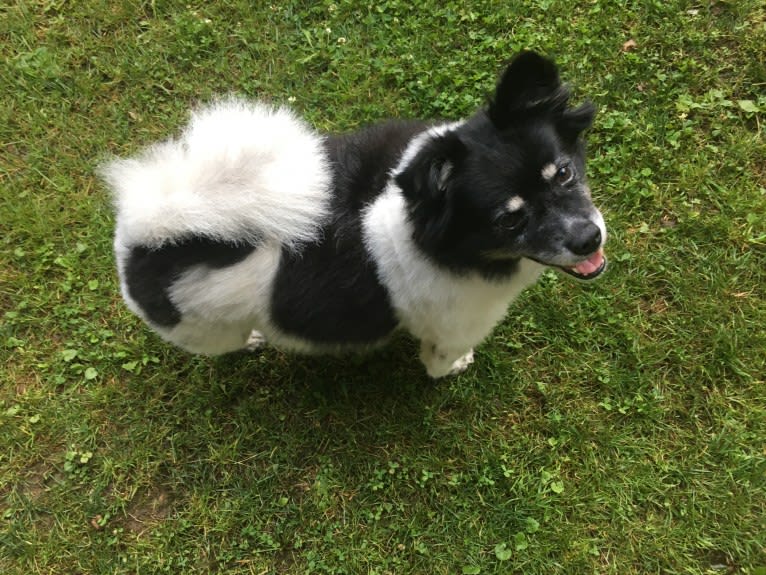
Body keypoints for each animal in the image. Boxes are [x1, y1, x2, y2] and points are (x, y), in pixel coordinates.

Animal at [102, 51, 608, 380]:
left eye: (564, 172)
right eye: (509, 220)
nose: (589, 239)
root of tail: (147, 230)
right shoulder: (453, 329)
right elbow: (440, 362)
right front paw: (455, 369)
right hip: (207, 329)